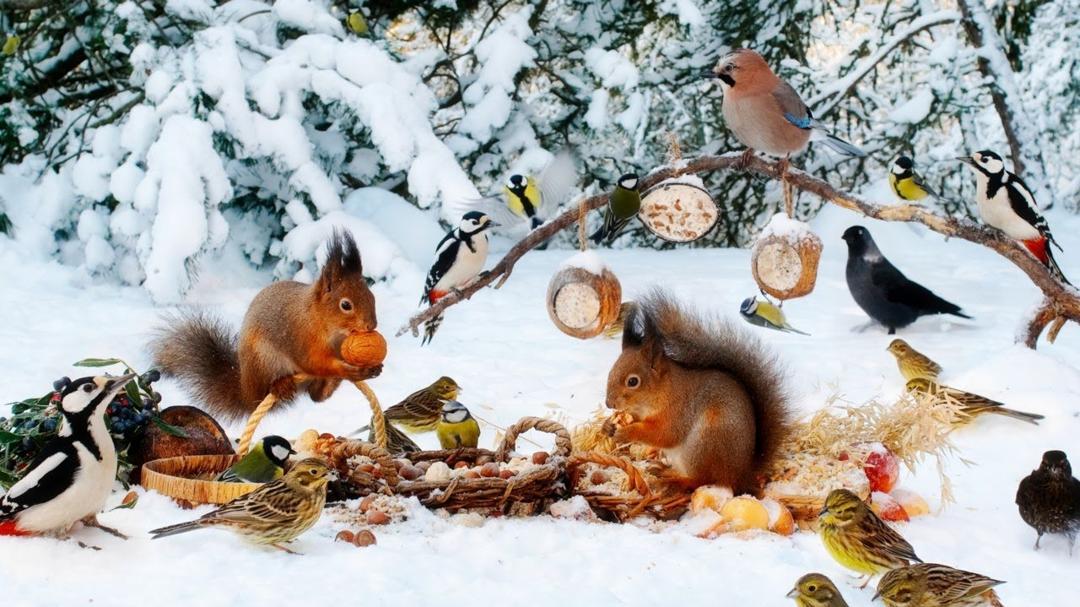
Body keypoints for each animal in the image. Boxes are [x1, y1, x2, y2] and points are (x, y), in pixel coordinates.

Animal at [151, 230, 381, 420]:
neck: (323, 322)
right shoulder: (300, 337)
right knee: (266, 392)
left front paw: (370, 367)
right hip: (264, 361)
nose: (371, 325)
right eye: (345, 305)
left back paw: (330, 384)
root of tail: (245, 390)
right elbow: (314, 362)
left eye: (371, 296)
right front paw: (353, 370)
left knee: (316, 396)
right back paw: (280, 386)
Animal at [604, 289, 792, 493]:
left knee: (702, 480)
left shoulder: (677, 412)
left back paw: (674, 482)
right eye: (611, 370)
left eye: (633, 381)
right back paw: (664, 471)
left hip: (703, 444)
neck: (662, 390)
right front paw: (608, 426)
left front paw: (626, 432)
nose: (609, 403)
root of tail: (742, 473)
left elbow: (663, 434)